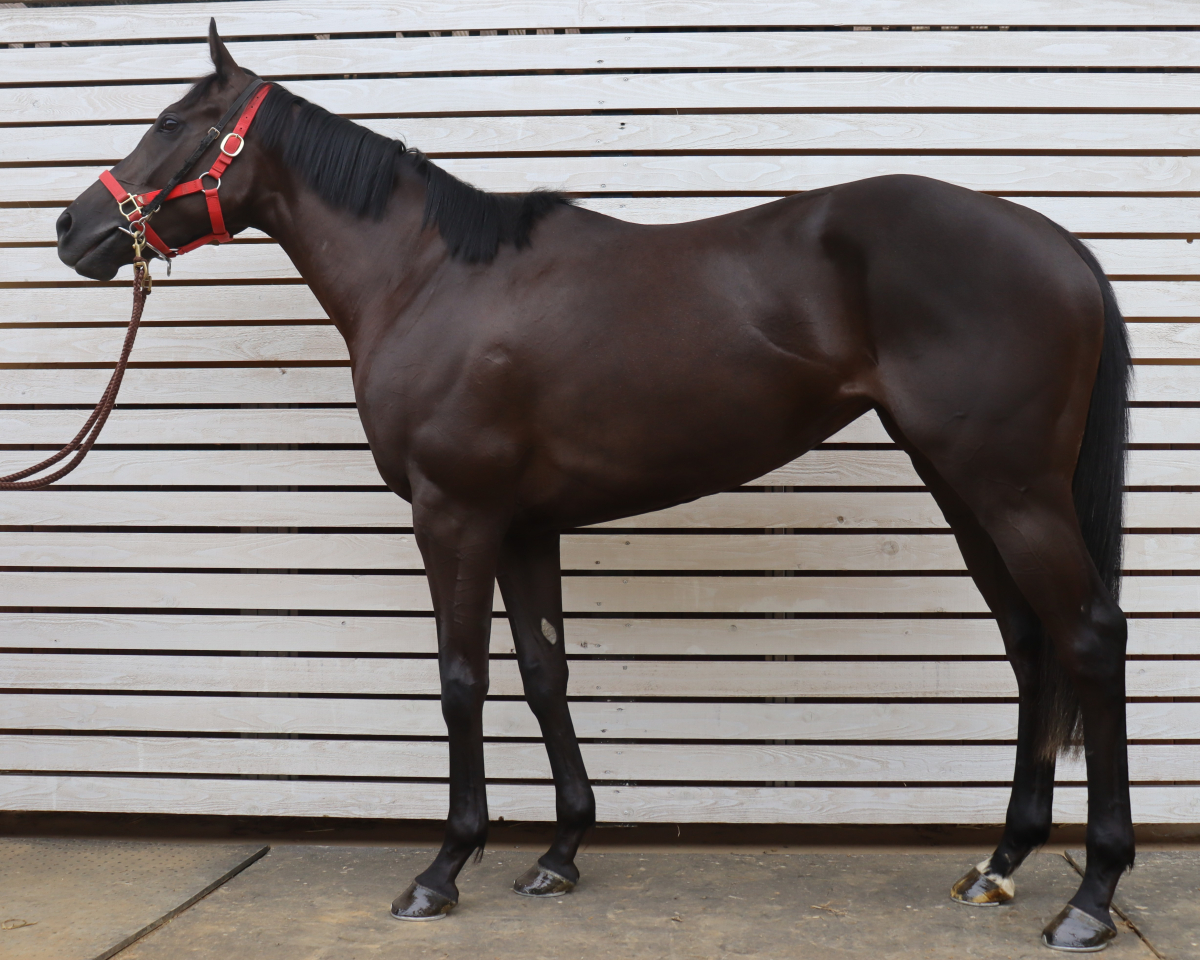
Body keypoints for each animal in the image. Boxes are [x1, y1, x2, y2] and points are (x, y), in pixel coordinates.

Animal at [54, 23, 1132, 951]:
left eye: (170, 123)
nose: (73, 227)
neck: (429, 277)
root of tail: (1057, 244)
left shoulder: (454, 514)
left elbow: (461, 679)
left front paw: (442, 870)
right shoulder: (525, 524)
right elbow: (544, 673)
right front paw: (561, 851)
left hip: (1012, 488)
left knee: (1087, 637)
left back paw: (1089, 897)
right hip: (963, 485)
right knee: (1030, 643)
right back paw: (999, 864)